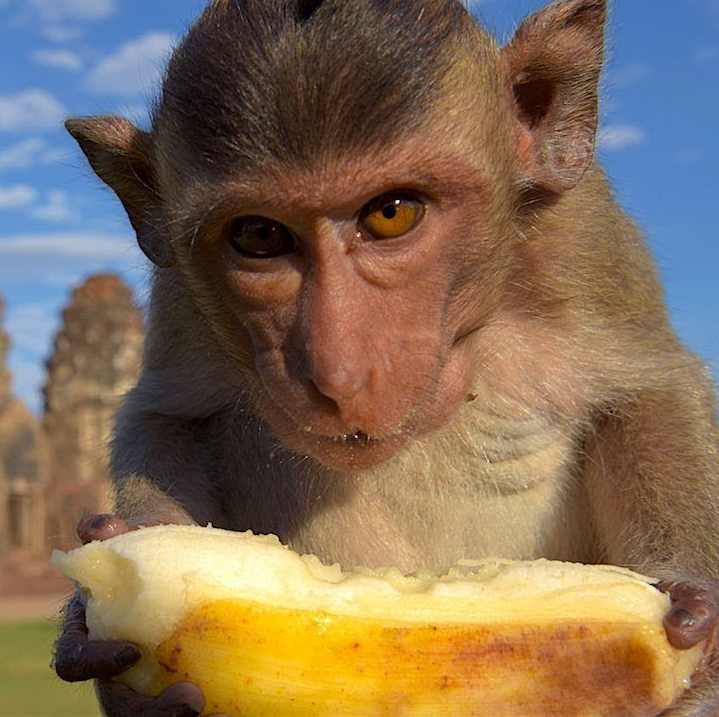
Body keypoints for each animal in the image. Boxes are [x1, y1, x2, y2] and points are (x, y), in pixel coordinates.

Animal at [53, 0, 719, 715]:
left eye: (392, 214)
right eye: (258, 235)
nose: (340, 373)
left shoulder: (585, 232)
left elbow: (649, 390)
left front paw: (693, 626)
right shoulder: (180, 290)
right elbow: (167, 414)